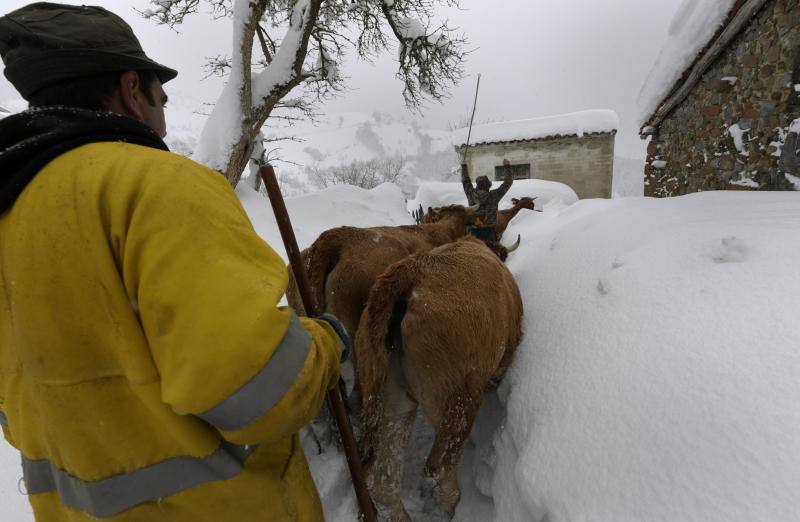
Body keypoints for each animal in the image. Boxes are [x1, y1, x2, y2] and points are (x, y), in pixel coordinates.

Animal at [356, 237, 524, 520]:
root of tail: (408, 273)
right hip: (457, 400)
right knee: (438, 467)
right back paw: (454, 506)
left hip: (389, 396)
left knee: (381, 480)